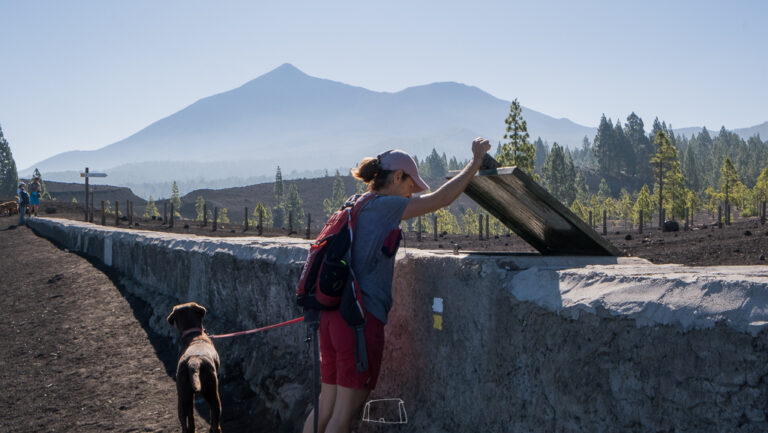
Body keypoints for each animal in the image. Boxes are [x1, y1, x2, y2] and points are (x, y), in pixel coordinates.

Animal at [169, 302, 224, 430]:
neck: (193, 335)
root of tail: (194, 362)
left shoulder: (189, 398)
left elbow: (191, 419)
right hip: (213, 393)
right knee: (215, 422)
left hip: (183, 398)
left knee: (186, 425)